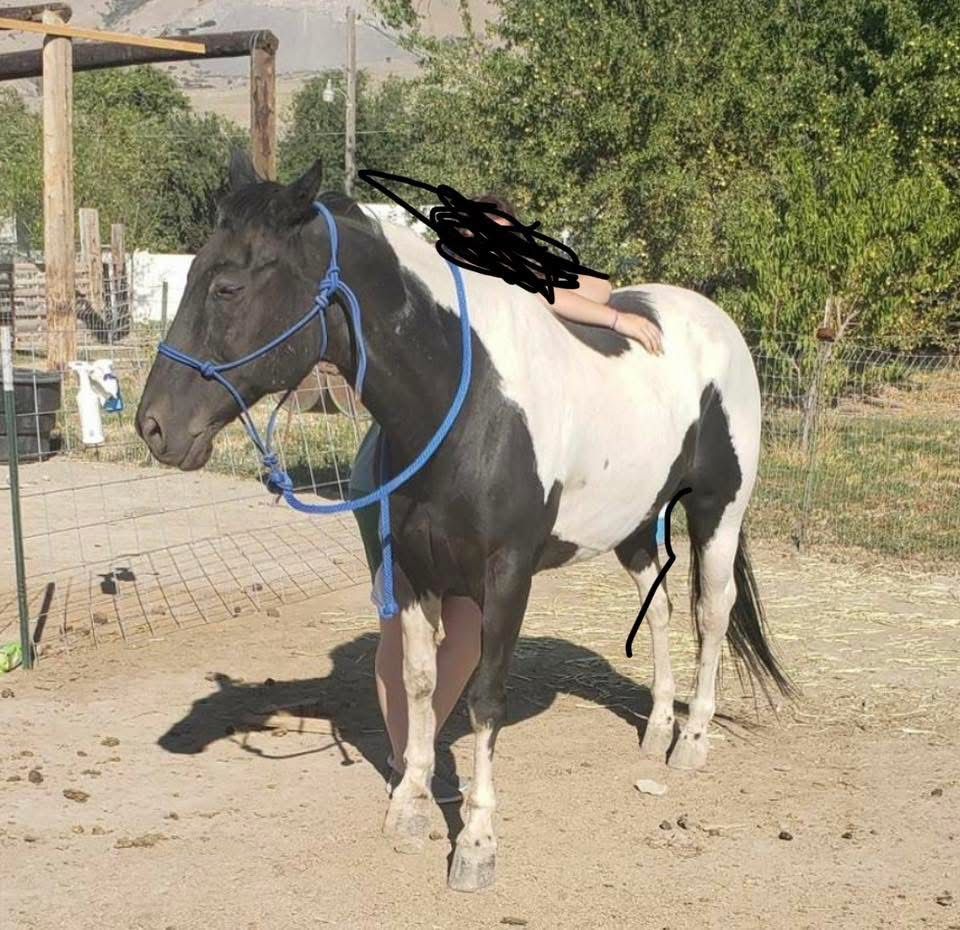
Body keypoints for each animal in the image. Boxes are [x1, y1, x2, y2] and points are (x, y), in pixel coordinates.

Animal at [136, 152, 793, 893]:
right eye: (191, 273)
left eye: (227, 286)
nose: (153, 425)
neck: (467, 393)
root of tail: (717, 325)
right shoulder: (414, 570)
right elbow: (422, 683)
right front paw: (410, 808)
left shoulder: (506, 577)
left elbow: (484, 701)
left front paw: (476, 844)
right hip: (634, 522)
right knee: (658, 609)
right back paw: (655, 730)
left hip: (717, 510)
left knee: (712, 614)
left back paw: (692, 743)